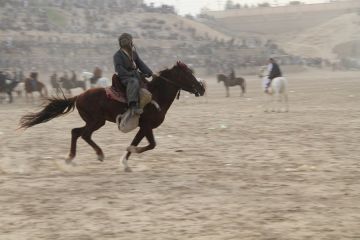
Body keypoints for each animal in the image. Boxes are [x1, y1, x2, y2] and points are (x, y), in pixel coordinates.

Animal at [19, 61, 205, 172]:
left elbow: (138, 143)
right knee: (83, 134)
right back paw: (96, 154)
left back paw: (72, 158)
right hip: (96, 121)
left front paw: (125, 163)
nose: (202, 88)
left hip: (96, 121)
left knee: (77, 132)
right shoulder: (147, 126)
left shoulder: (144, 127)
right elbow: (150, 144)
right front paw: (129, 156)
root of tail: (79, 96)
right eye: (187, 74)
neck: (156, 95)